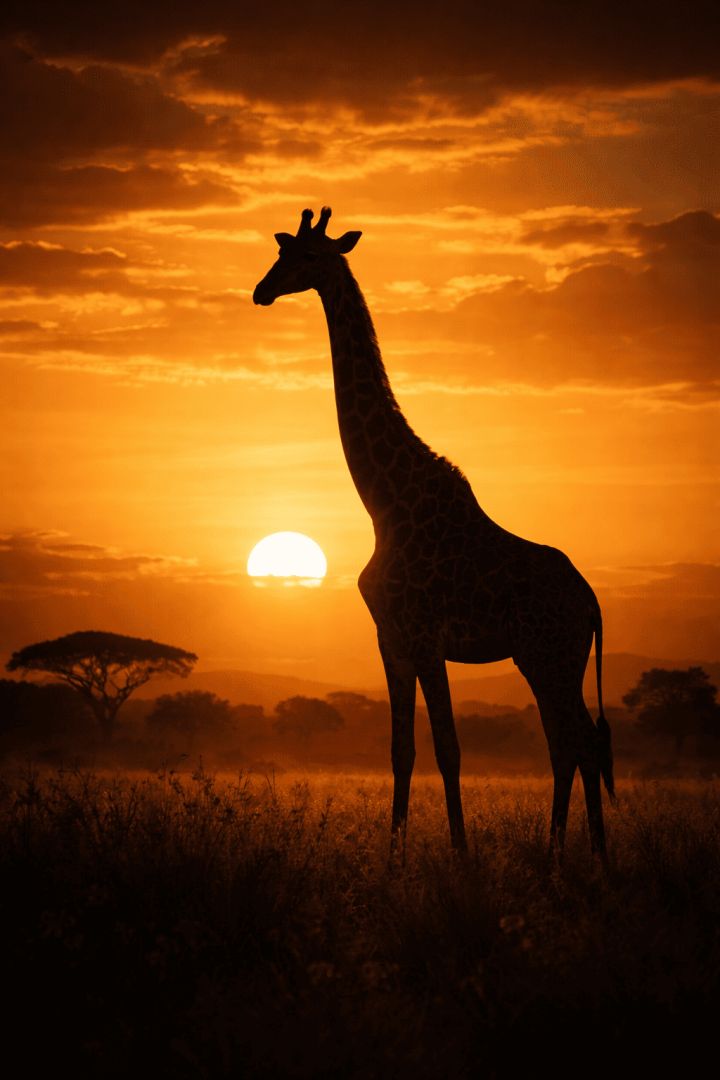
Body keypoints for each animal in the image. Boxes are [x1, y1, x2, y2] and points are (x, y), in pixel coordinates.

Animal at [253, 207, 615, 859]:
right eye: (281, 252)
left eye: (308, 258)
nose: (261, 291)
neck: (385, 503)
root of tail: (592, 602)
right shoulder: (391, 639)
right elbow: (403, 750)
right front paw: (393, 856)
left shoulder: (424, 637)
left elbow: (449, 749)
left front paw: (462, 855)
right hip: (549, 658)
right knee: (571, 741)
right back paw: (569, 854)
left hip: (551, 654)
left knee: (577, 741)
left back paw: (583, 856)